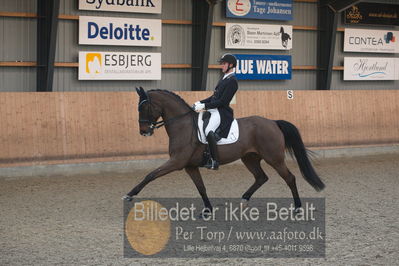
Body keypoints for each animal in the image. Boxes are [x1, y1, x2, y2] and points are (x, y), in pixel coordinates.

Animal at [122, 88, 324, 213]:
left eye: (144, 107)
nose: (144, 131)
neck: (183, 125)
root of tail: (273, 122)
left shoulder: (177, 162)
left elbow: (150, 175)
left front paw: (129, 195)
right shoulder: (189, 166)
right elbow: (201, 187)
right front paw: (207, 210)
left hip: (274, 158)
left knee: (289, 178)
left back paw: (297, 207)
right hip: (250, 158)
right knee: (261, 177)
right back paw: (244, 199)